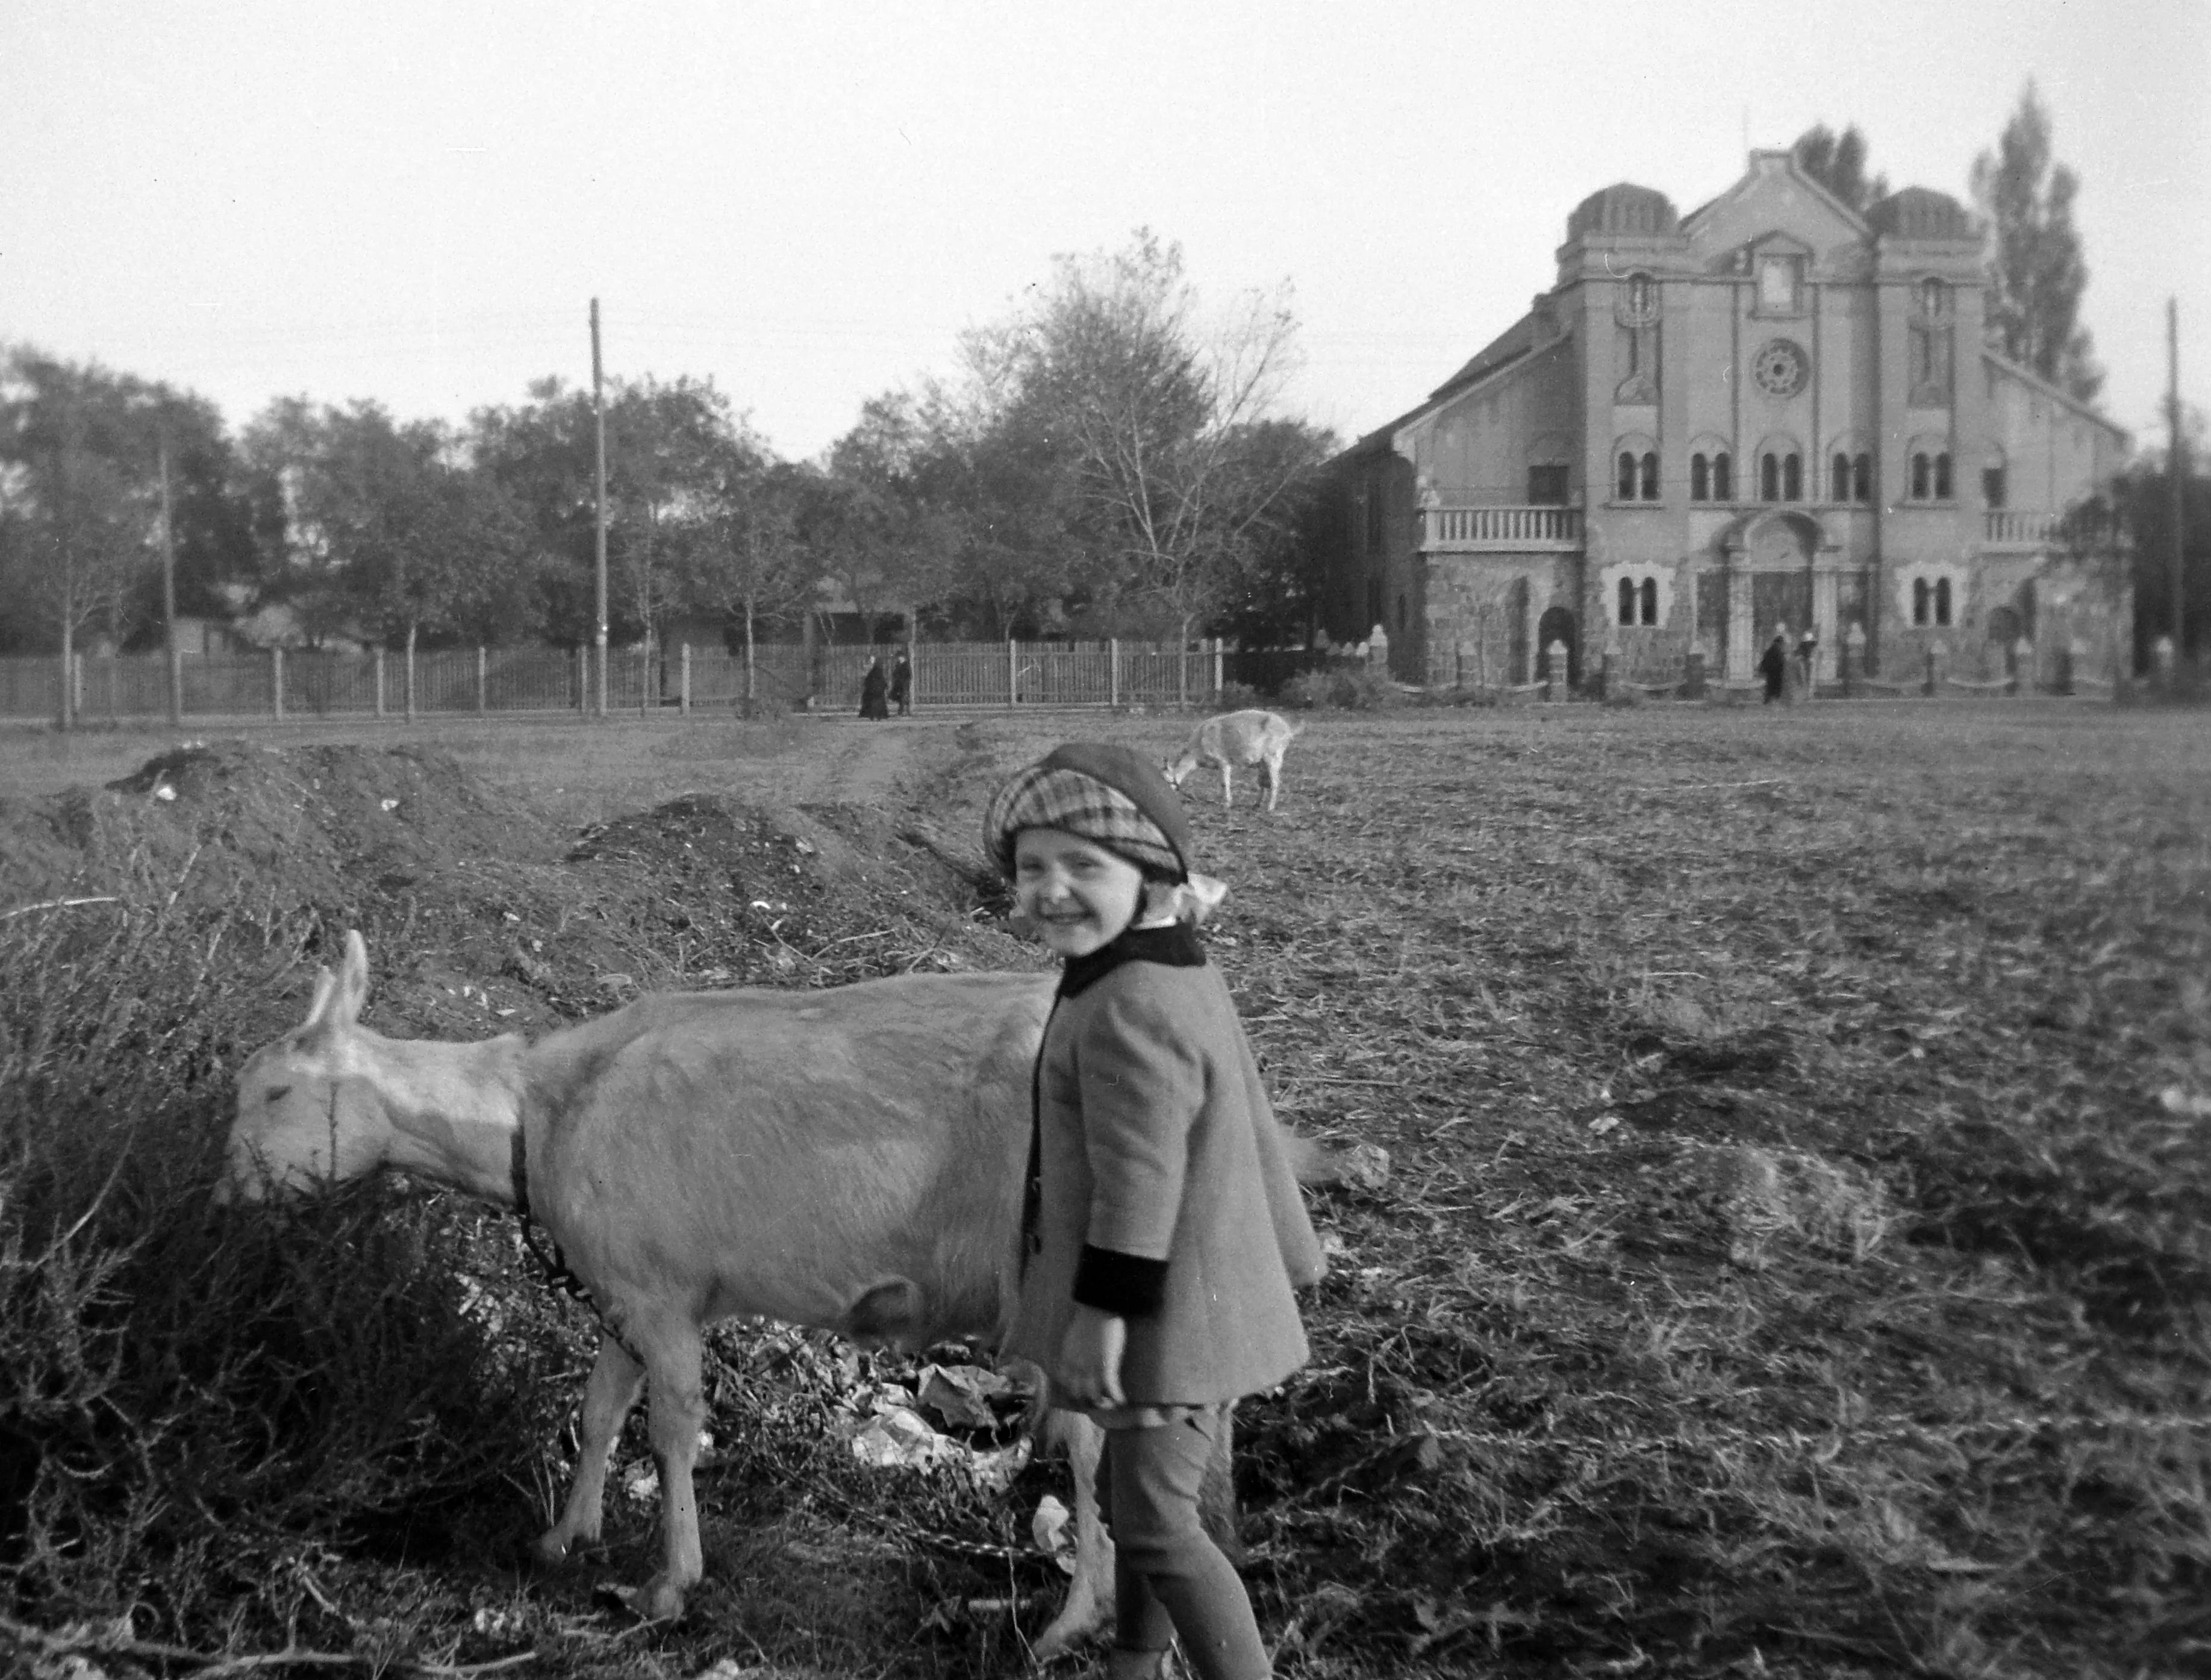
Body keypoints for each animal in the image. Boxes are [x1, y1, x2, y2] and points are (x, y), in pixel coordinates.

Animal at [224, 932, 1114, 1644]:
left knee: (1095, 1446)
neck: (538, 1114)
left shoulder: (663, 1294)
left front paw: (667, 1583)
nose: (224, 1190)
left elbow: (671, 1429)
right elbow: (598, 1413)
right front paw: (564, 1536)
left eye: (276, 1091)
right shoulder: (619, 1292)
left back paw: (1072, 1622)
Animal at [1167, 707, 1300, 813]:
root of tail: (1289, 731)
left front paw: (1227, 804)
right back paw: (1257, 805)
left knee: (1275, 782)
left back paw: (1270, 808)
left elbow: (1225, 783)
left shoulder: (1223, 761)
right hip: (1262, 762)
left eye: (1167, 781)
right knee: (1263, 782)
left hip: (1274, 756)